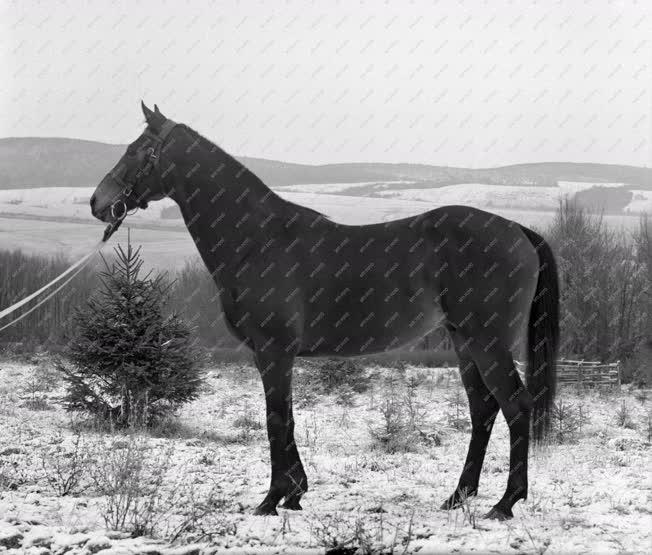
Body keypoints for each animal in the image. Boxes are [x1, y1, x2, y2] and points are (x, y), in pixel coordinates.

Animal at [93, 103, 560, 520]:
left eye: (138, 150)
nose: (98, 203)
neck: (257, 240)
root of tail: (517, 230)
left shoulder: (274, 351)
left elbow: (276, 419)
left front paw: (271, 500)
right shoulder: (273, 355)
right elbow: (286, 419)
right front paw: (295, 494)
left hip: (488, 342)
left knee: (516, 406)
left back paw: (505, 503)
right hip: (465, 342)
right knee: (483, 410)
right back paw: (458, 497)